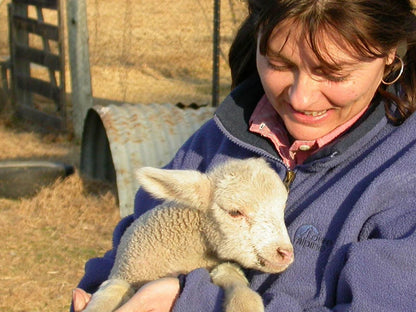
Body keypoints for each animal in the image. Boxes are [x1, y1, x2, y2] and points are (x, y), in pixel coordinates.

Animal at [83, 158, 294, 312]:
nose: (285, 253)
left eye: (282, 208)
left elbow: (234, 279)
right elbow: (108, 294)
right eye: (235, 212)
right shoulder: (121, 277)